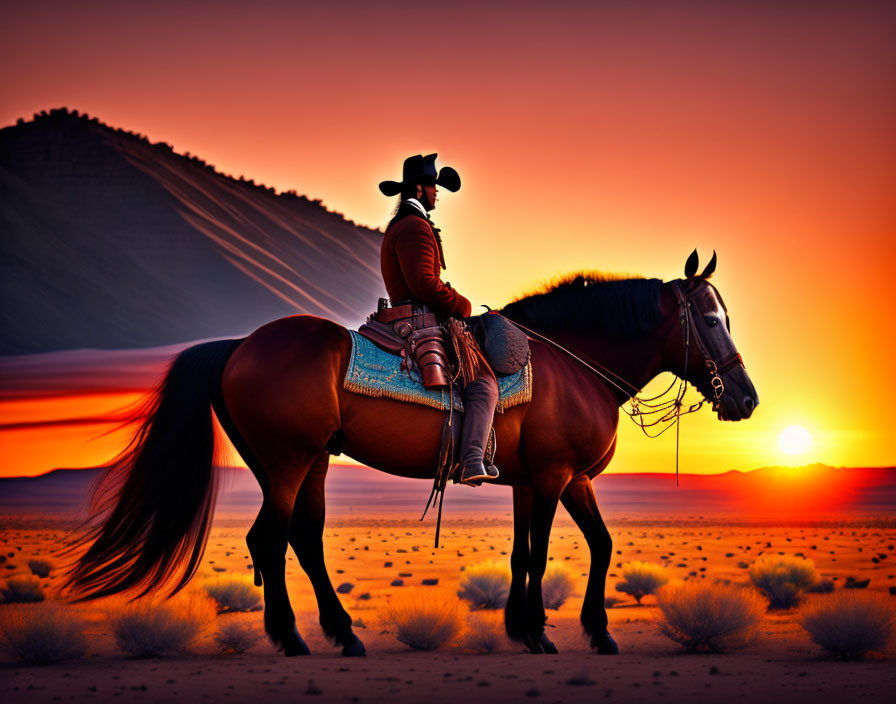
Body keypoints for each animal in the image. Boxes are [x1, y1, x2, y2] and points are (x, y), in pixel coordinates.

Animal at [65, 253, 756, 660]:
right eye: (711, 320)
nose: (746, 398)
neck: (572, 364)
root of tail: (238, 345)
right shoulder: (558, 475)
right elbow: (546, 553)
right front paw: (544, 632)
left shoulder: (538, 481)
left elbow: (557, 550)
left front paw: (556, 628)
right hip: (288, 462)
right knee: (270, 540)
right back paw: (292, 638)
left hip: (305, 463)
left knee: (303, 540)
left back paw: (344, 634)